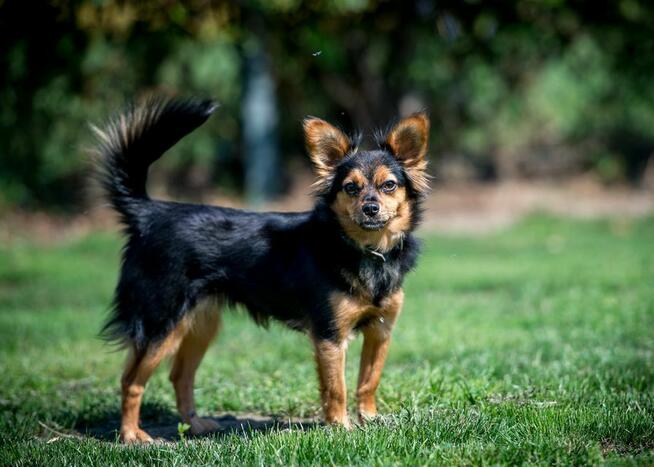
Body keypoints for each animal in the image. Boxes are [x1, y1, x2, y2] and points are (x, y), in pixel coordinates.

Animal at [92, 98, 430, 442]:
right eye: (350, 188)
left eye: (389, 185)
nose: (370, 208)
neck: (367, 250)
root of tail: (150, 212)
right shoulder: (330, 336)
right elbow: (337, 388)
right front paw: (340, 428)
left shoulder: (381, 330)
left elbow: (368, 381)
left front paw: (370, 419)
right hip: (161, 324)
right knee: (130, 381)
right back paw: (131, 434)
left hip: (200, 324)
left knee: (179, 376)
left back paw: (195, 425)